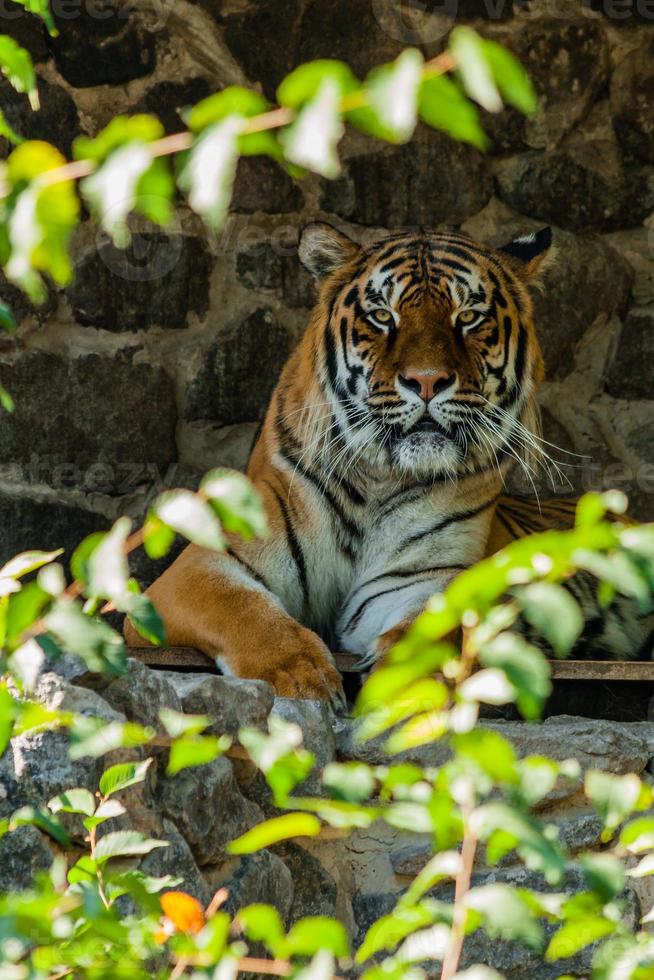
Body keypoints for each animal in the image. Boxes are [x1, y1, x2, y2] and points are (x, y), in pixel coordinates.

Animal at [125, 220, 652, 704]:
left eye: (468, 316)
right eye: (382, 315)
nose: (427, 380)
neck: (377, 482)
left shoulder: (427, 579)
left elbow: (435, 628)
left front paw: (406, 684)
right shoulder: (203, 566)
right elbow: (243, 610)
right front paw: (300, 676)